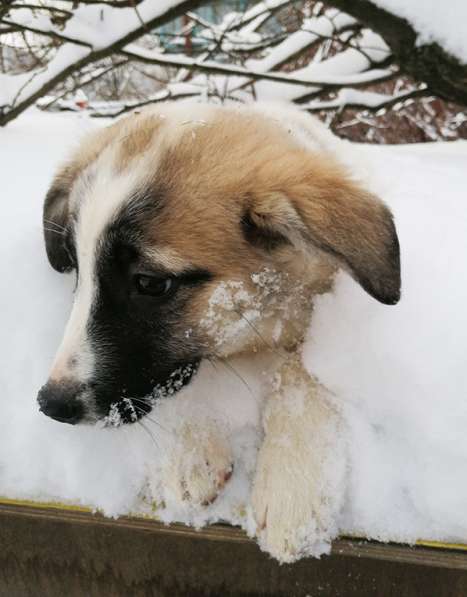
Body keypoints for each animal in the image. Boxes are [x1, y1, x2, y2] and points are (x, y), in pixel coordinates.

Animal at [37, 100, 402, 560]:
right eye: (76, 266)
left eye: (150, 283)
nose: (51, 404)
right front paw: (189, 450)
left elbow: (302, 378)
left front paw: (292, 484)